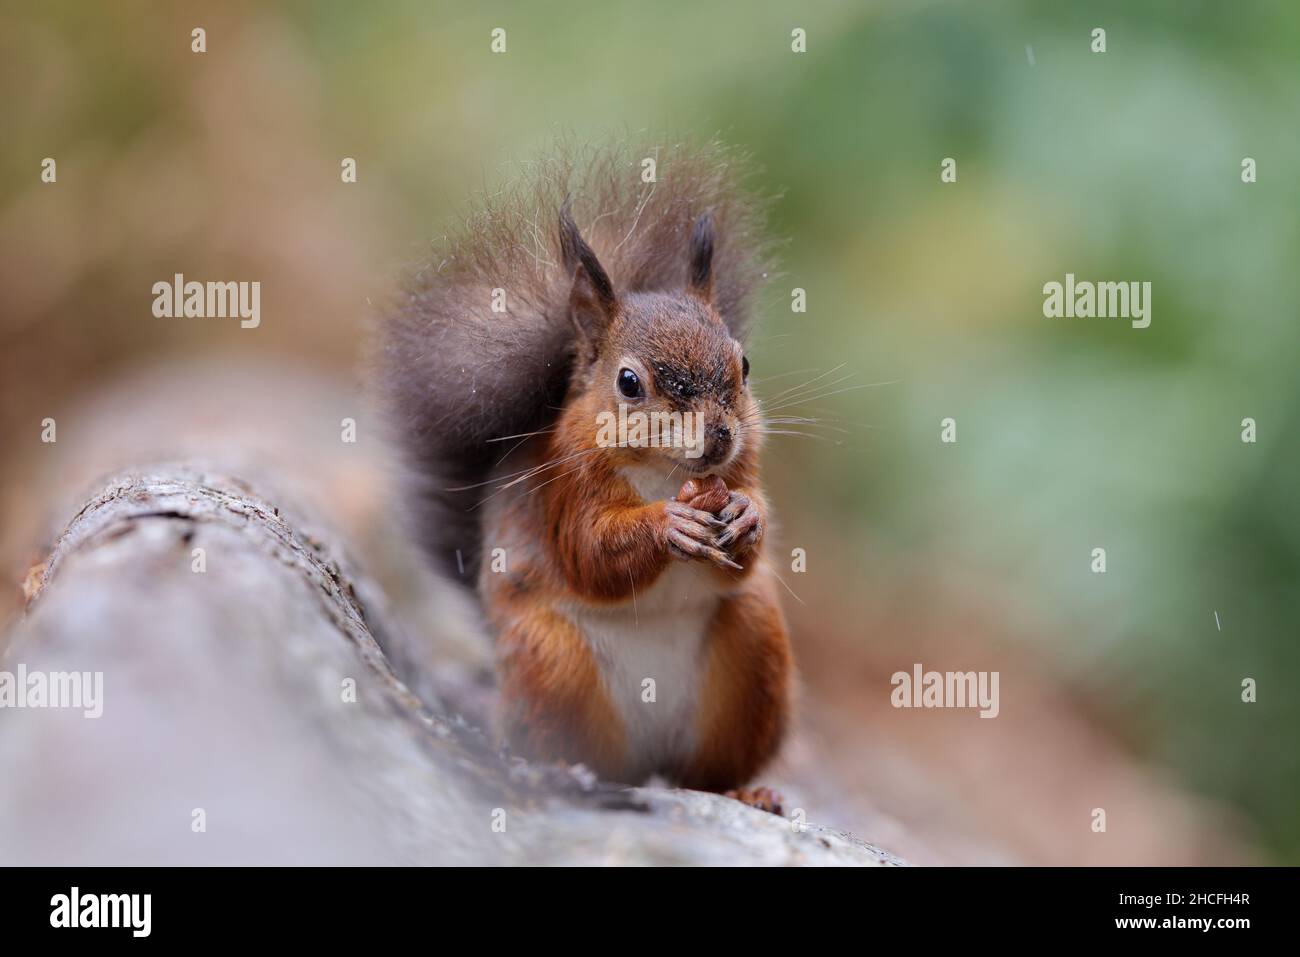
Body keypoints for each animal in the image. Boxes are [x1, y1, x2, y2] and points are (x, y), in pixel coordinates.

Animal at [379, 141, 790, 800]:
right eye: (628, 382)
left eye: (744, 364)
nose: (718, 438)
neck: (662, 471)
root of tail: (646, 764)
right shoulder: (565, 483)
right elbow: (588, 553)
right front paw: (669, 525)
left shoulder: (743, 464)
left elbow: (745, 539)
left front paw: (748, 513)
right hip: (552, 660)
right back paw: (560, 770)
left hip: (754, 646)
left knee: (702, 773)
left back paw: (741, 791)